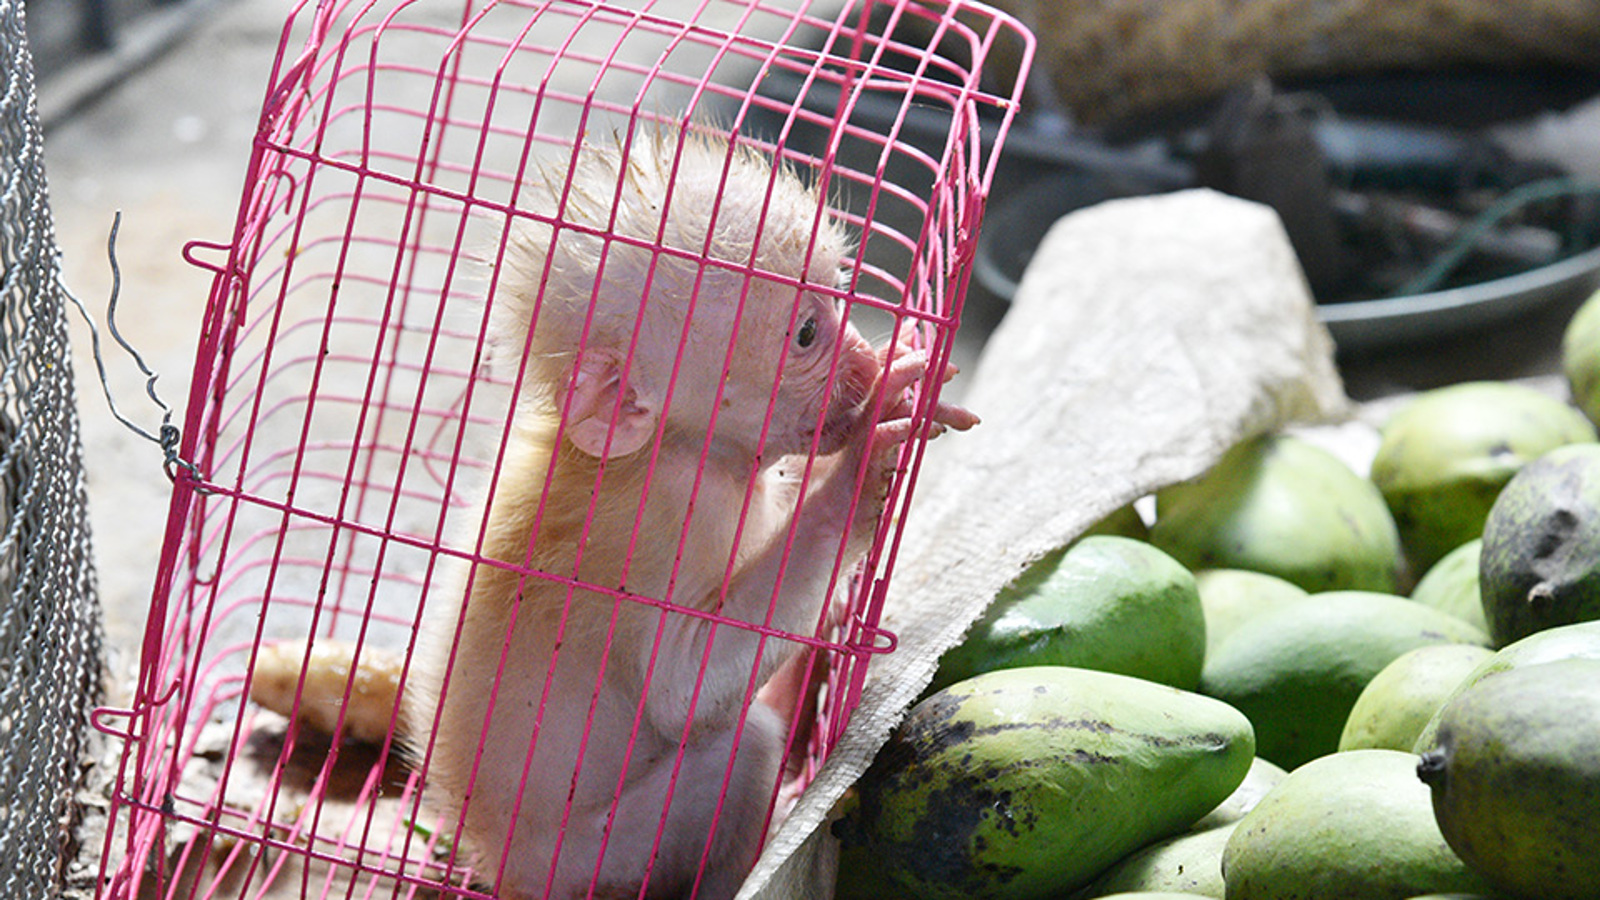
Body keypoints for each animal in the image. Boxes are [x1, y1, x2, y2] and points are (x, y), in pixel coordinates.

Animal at [405, 124, 977, 900]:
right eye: (806, 335)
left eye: (837, 297)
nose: (858, 351)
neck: (674, 449)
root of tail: (492, 860)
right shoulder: (670, 515)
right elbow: (684, 689)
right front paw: (859, 470)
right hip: (596, 865)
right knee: (741, 747)